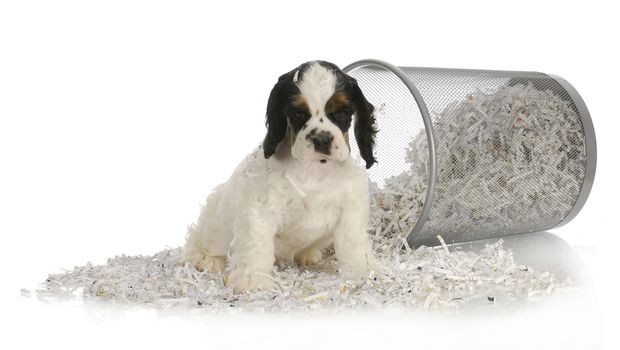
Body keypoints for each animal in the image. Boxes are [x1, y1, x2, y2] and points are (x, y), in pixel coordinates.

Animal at [182, 60, 378, 292]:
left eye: (342, 111)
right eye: (298, 112)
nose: (321, 139)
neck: (315, 170)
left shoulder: (350, 207)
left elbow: (353, 242)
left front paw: (365, 272)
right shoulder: (261, 211)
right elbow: (257, 247)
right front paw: (254, 282)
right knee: (195, 244)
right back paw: (206, 260)